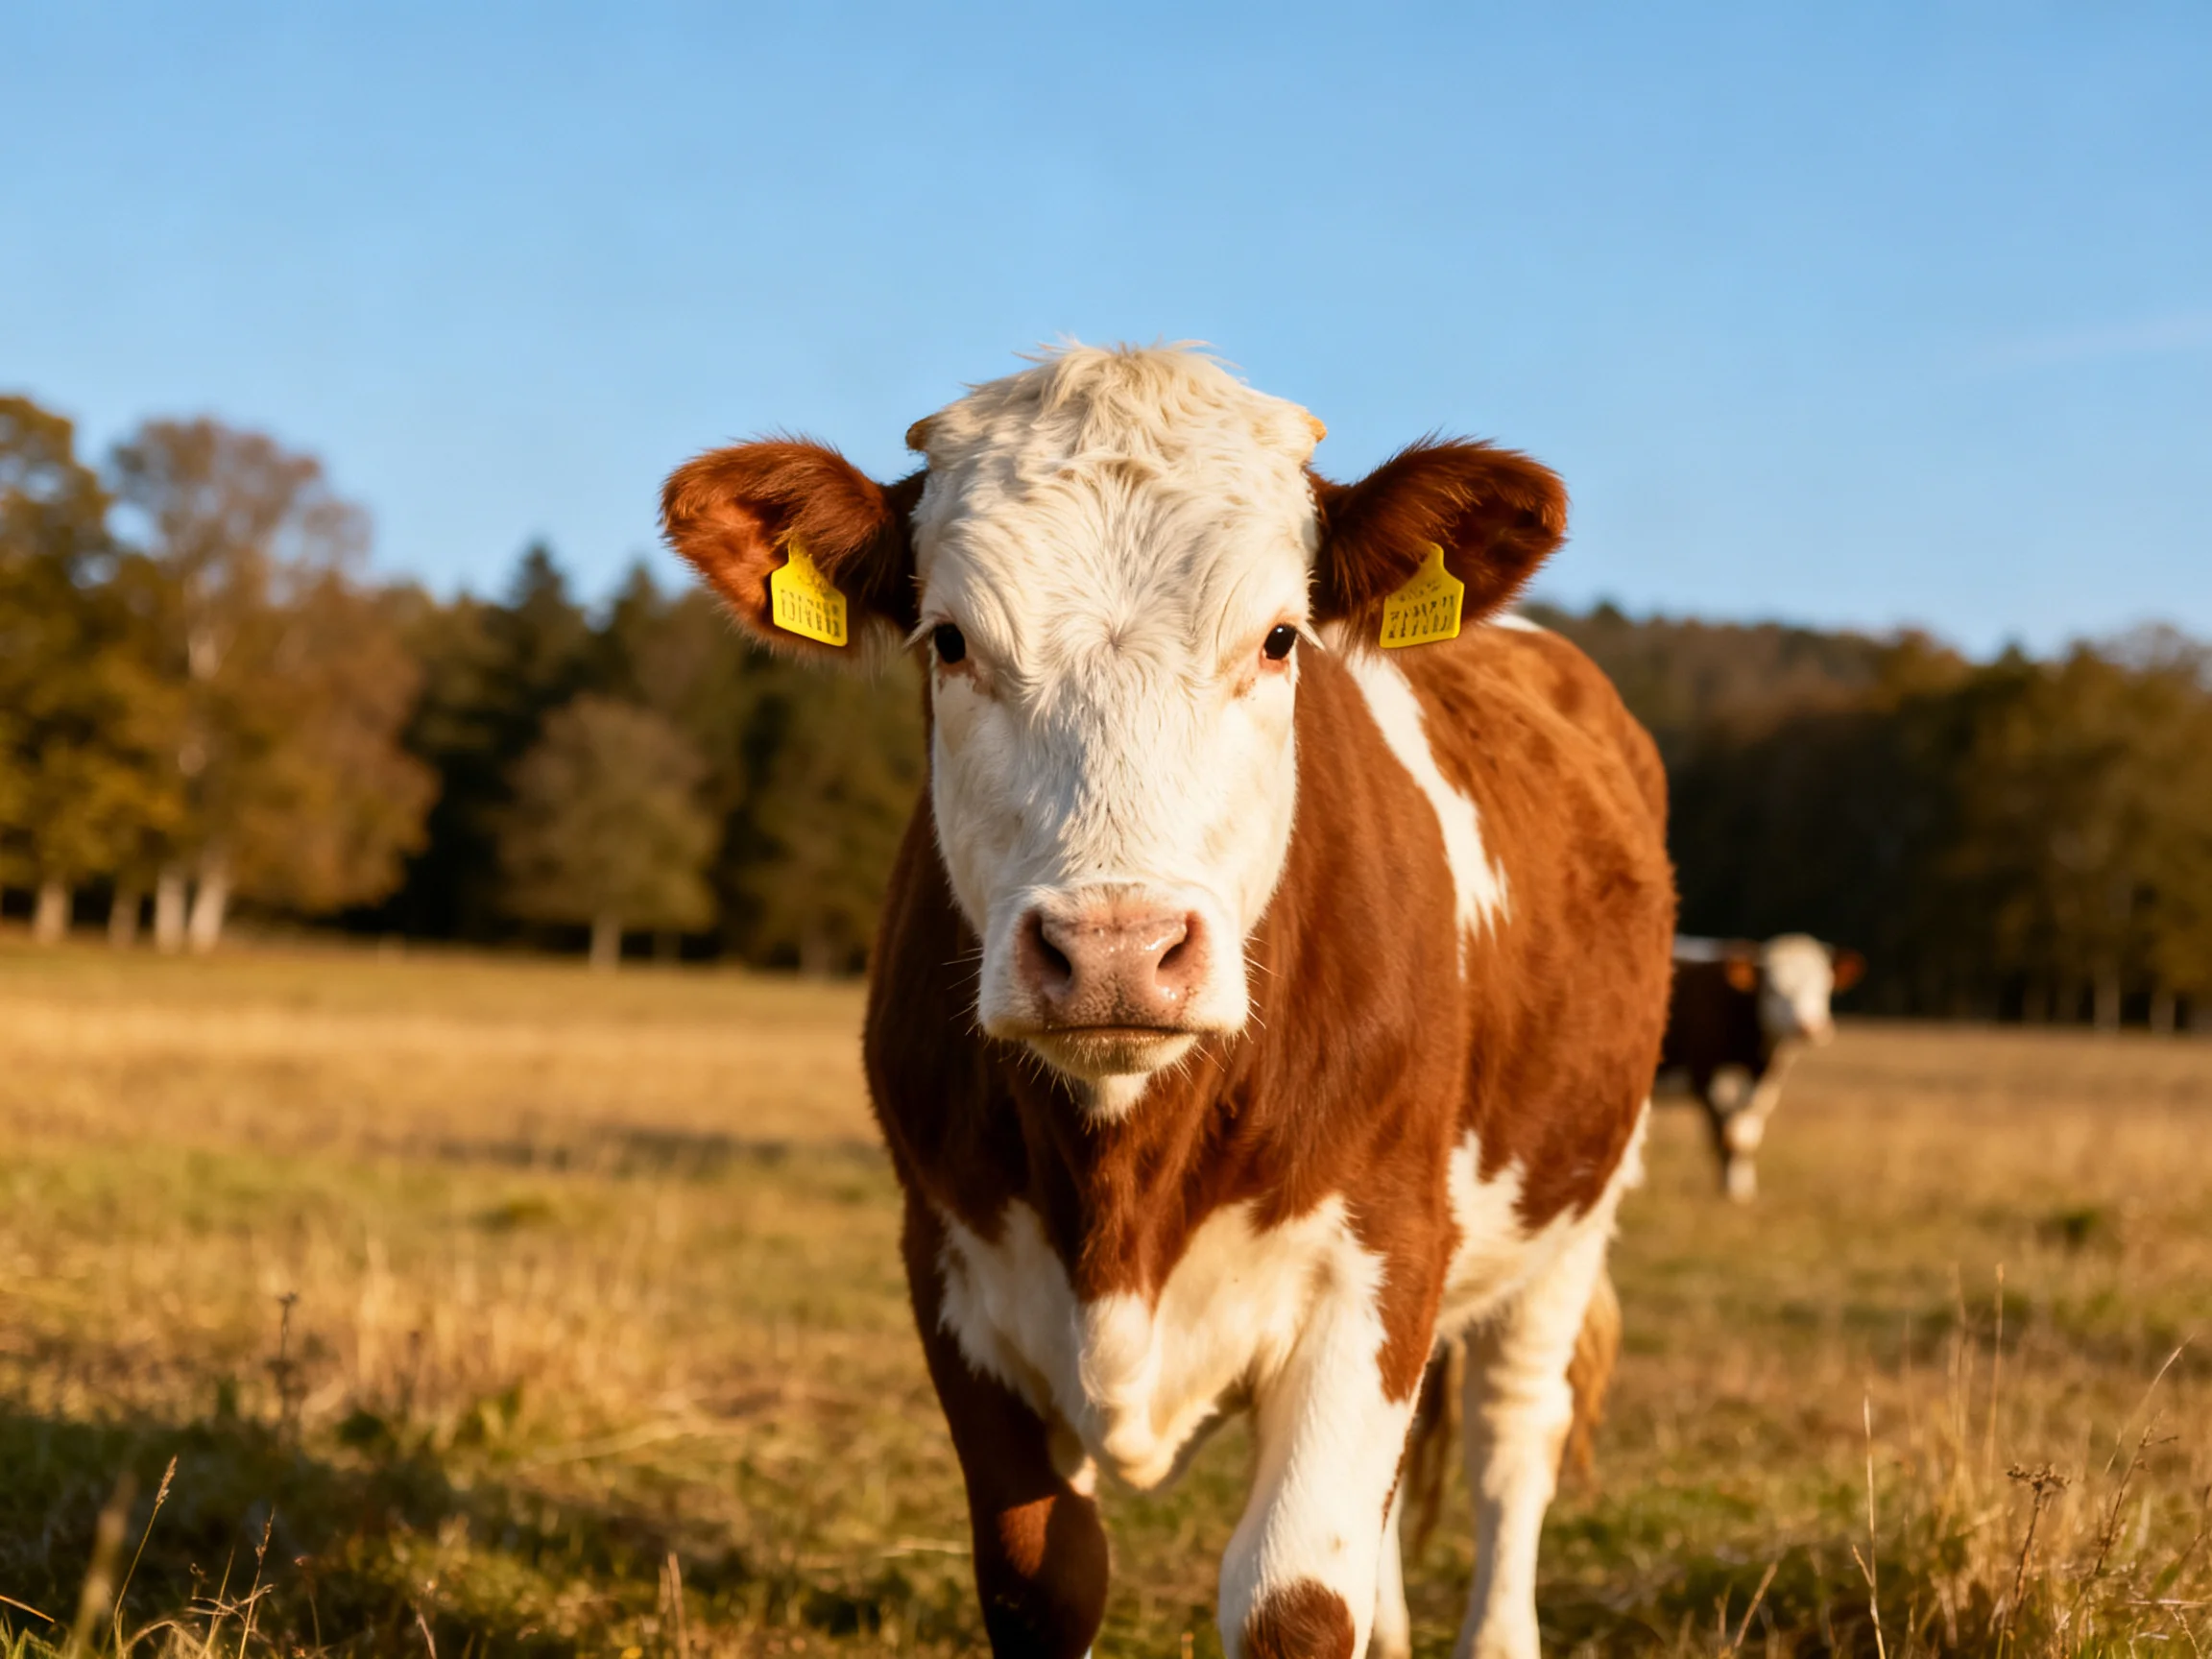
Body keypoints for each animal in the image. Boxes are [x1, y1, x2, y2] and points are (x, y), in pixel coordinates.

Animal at [662, 345, 1675, 1659]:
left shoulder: (1383, 1259)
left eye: (1282, 637)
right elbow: (1045, 1580)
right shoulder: (950, 1266)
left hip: (1576, 1209)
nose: (1113, 950)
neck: (1121, 1194)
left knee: (1514, 1442)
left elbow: (1296, 1596)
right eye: (949, 641)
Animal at [1659, 934, 1864, 1202]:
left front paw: (1744, 1191)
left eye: (1824, 986)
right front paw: (1731, 1192)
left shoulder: (1764, 1089)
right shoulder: (1706, 1079)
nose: (1809, 1027)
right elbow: (1727, 1137)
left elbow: (1747, 1139)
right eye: (1773, 990)